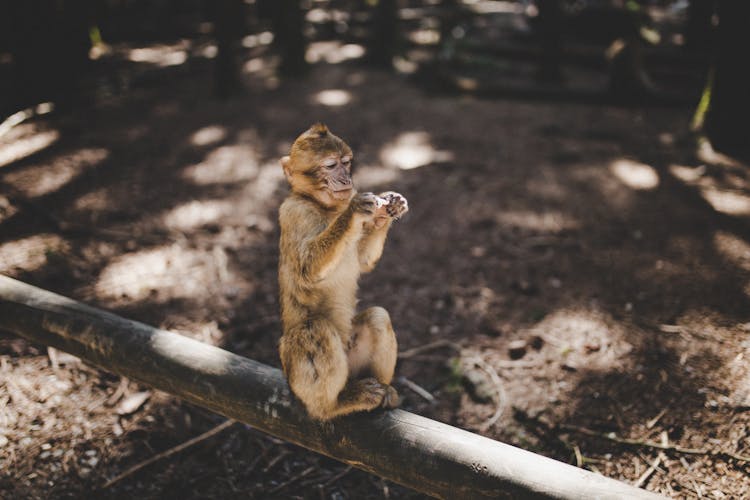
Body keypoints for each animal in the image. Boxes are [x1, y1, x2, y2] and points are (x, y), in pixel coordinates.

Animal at [280, 123, 412, 420]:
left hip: (354, 360)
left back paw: (385, 389)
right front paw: (353, 212)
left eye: (346, 163)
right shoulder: (292, 212)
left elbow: (363, 260)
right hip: (294, 374)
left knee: (377, 317)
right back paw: (335, 404)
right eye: (330, 165)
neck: (323, 207)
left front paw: (386, 208)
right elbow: (306, 271)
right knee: (313, 329)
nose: (345, 179)